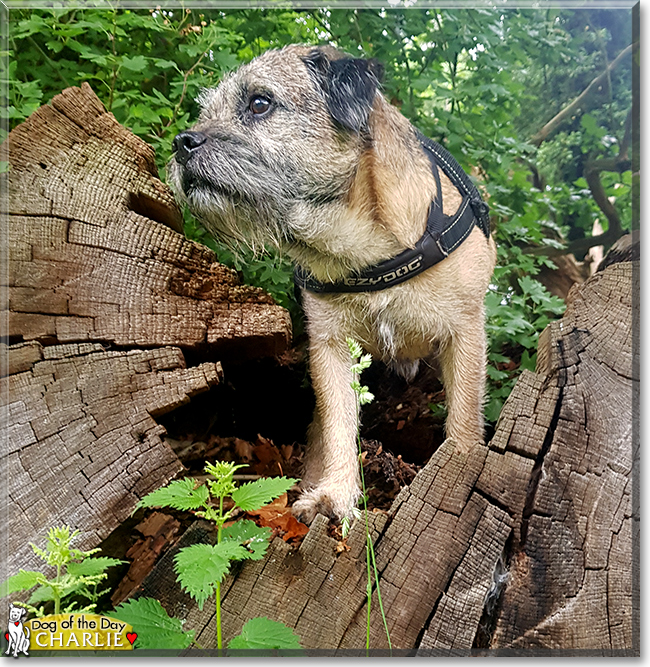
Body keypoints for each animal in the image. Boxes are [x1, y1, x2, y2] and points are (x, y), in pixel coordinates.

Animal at [168, 45, 496, 528]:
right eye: (207, 112)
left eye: (260, 103)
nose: (181, 142)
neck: (363, 249)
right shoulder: (330, 346)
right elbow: (339, 422)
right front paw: (335, 493)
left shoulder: (465, 334)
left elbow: (464, 421)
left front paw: (459, 470)